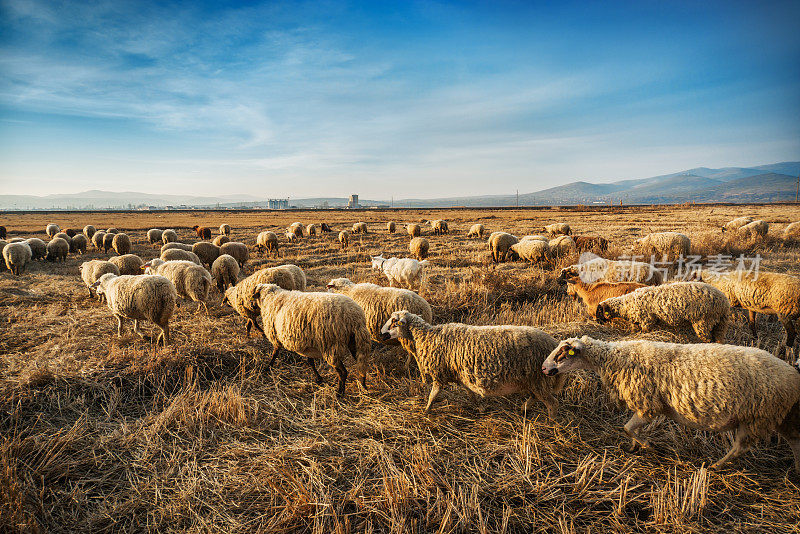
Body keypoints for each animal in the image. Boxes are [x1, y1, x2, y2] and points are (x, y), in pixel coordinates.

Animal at [384, 310, 564, 418]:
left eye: (394, 322)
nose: (381, 334)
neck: (427, 337)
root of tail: (552, 343)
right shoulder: (461, 375)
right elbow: (470, 393)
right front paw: (480, 407)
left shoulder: (439, 374)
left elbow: (433, 394)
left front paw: (426, 411)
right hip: (533, 380)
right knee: (536, 397)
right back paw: (524, 409)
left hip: (537, 378)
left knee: (552, 403)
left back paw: (551, 422)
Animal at [540, 338, 800, 476]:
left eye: (563, 353)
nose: (543, 369)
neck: (614, 358)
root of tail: (793, 376)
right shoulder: (647, 406)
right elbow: (630, 429)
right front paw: (635, 447)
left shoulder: (648, 405)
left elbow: (628, 428)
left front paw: (648, 446)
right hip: (782, 416)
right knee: (795, 441)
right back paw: (797, 471)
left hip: (759, 417)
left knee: (740, 448)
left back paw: (714, 466)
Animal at [592, 280, 732, 344]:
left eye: (599, 312)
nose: (597, 323)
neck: (626, 305)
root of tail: (724, 303)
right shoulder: (637, 322)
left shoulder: (647, 320)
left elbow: (645, 331)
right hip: (720, 324)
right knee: (718, 338)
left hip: (703, 321)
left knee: (707, 338)